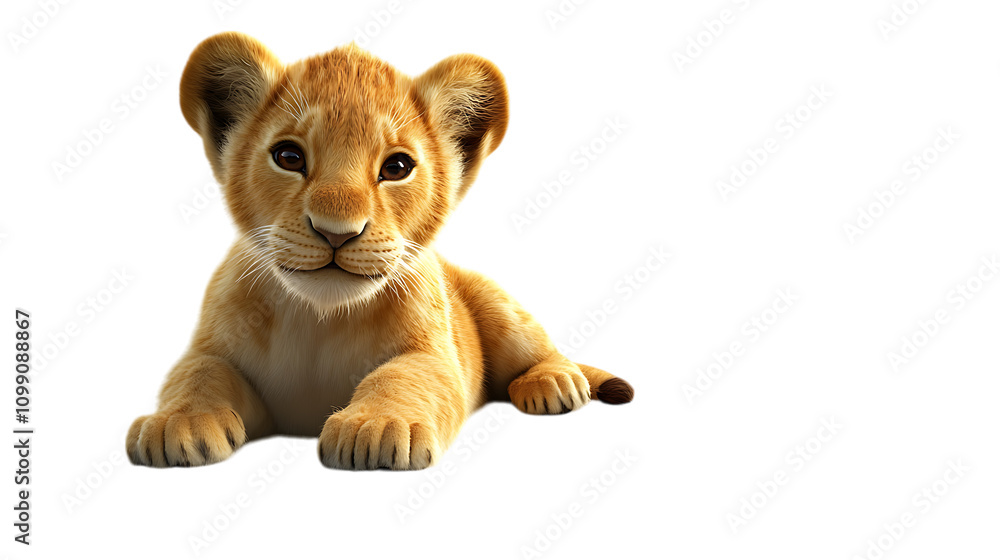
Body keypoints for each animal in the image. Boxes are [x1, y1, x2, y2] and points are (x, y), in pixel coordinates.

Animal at [126, 32, 634, 470]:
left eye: (397, 167)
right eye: (289, 157)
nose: (335, 233)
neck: (320, 320)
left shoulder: (436, 355)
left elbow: (403, 376)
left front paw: (377, 426)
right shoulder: (214, 350)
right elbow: (198, 373)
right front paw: (176, 424)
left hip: (497, 305)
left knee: (539, 347)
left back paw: (554, 382)